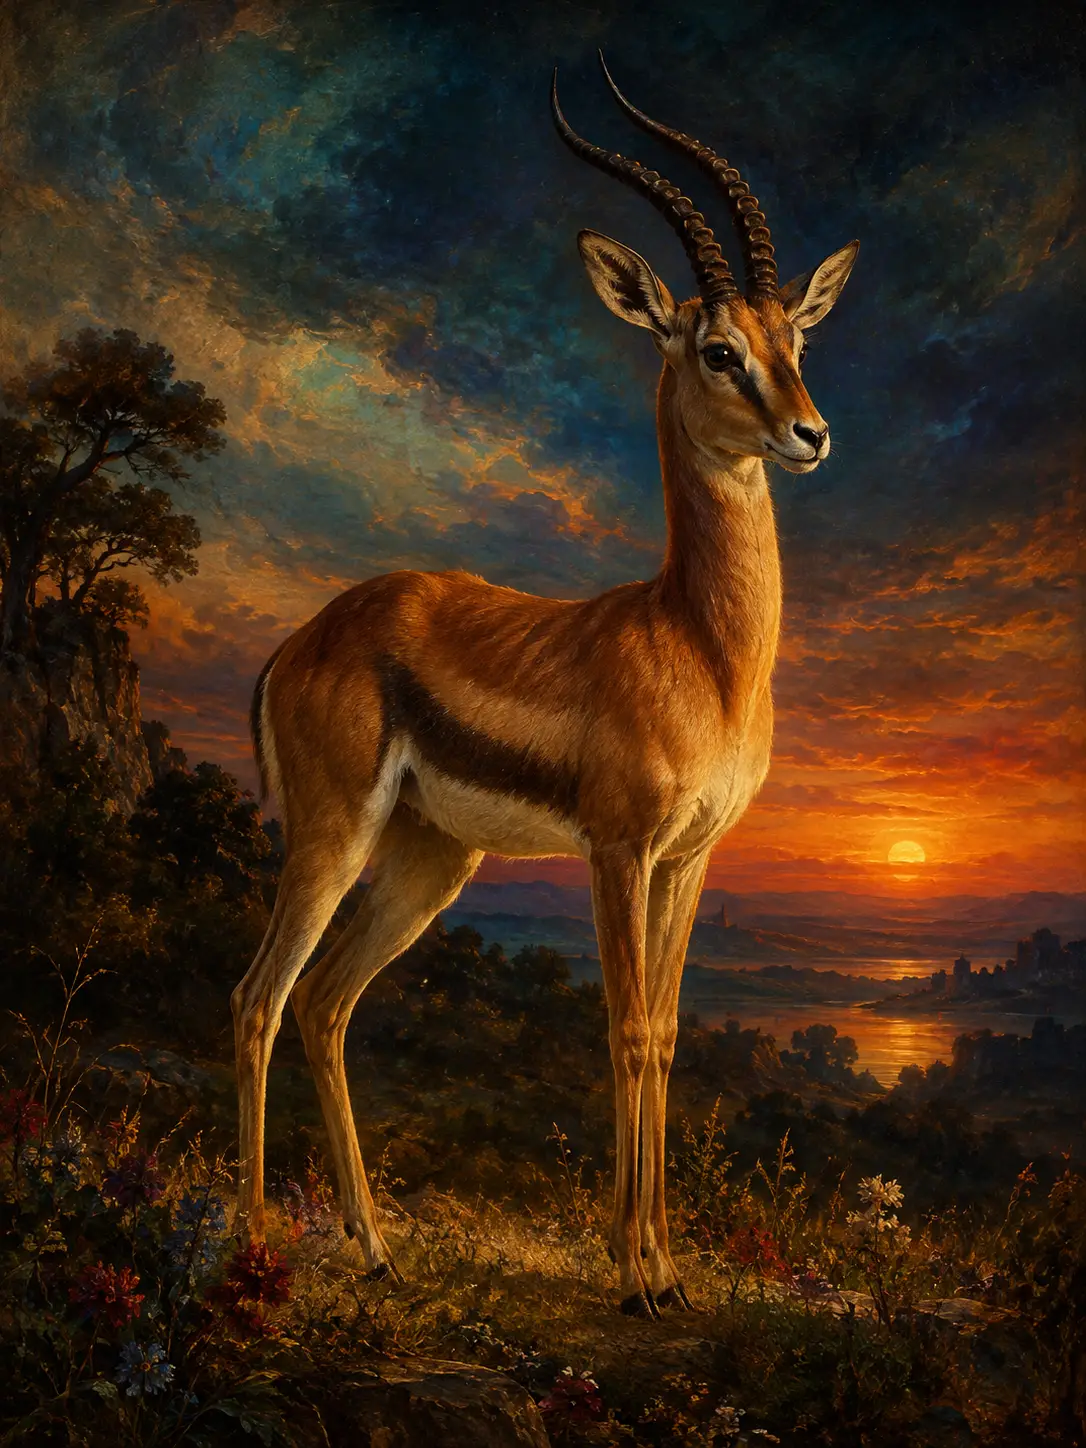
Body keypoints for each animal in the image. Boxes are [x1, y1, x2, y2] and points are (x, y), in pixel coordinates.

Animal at [232, 56, 858, 1317]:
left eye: (793, 339)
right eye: (718, 349)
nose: (811, 433)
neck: (700, 643)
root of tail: (304, 637)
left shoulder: (691, 857)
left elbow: (666, 1033)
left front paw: (664, 1261)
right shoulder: (617, 849)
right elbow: (622, 1028)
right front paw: (635, 1271)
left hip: (432, 861)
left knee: (326, 1005)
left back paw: (375, 1248)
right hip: (330, 839)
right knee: (260, 998)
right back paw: (255, 1237)